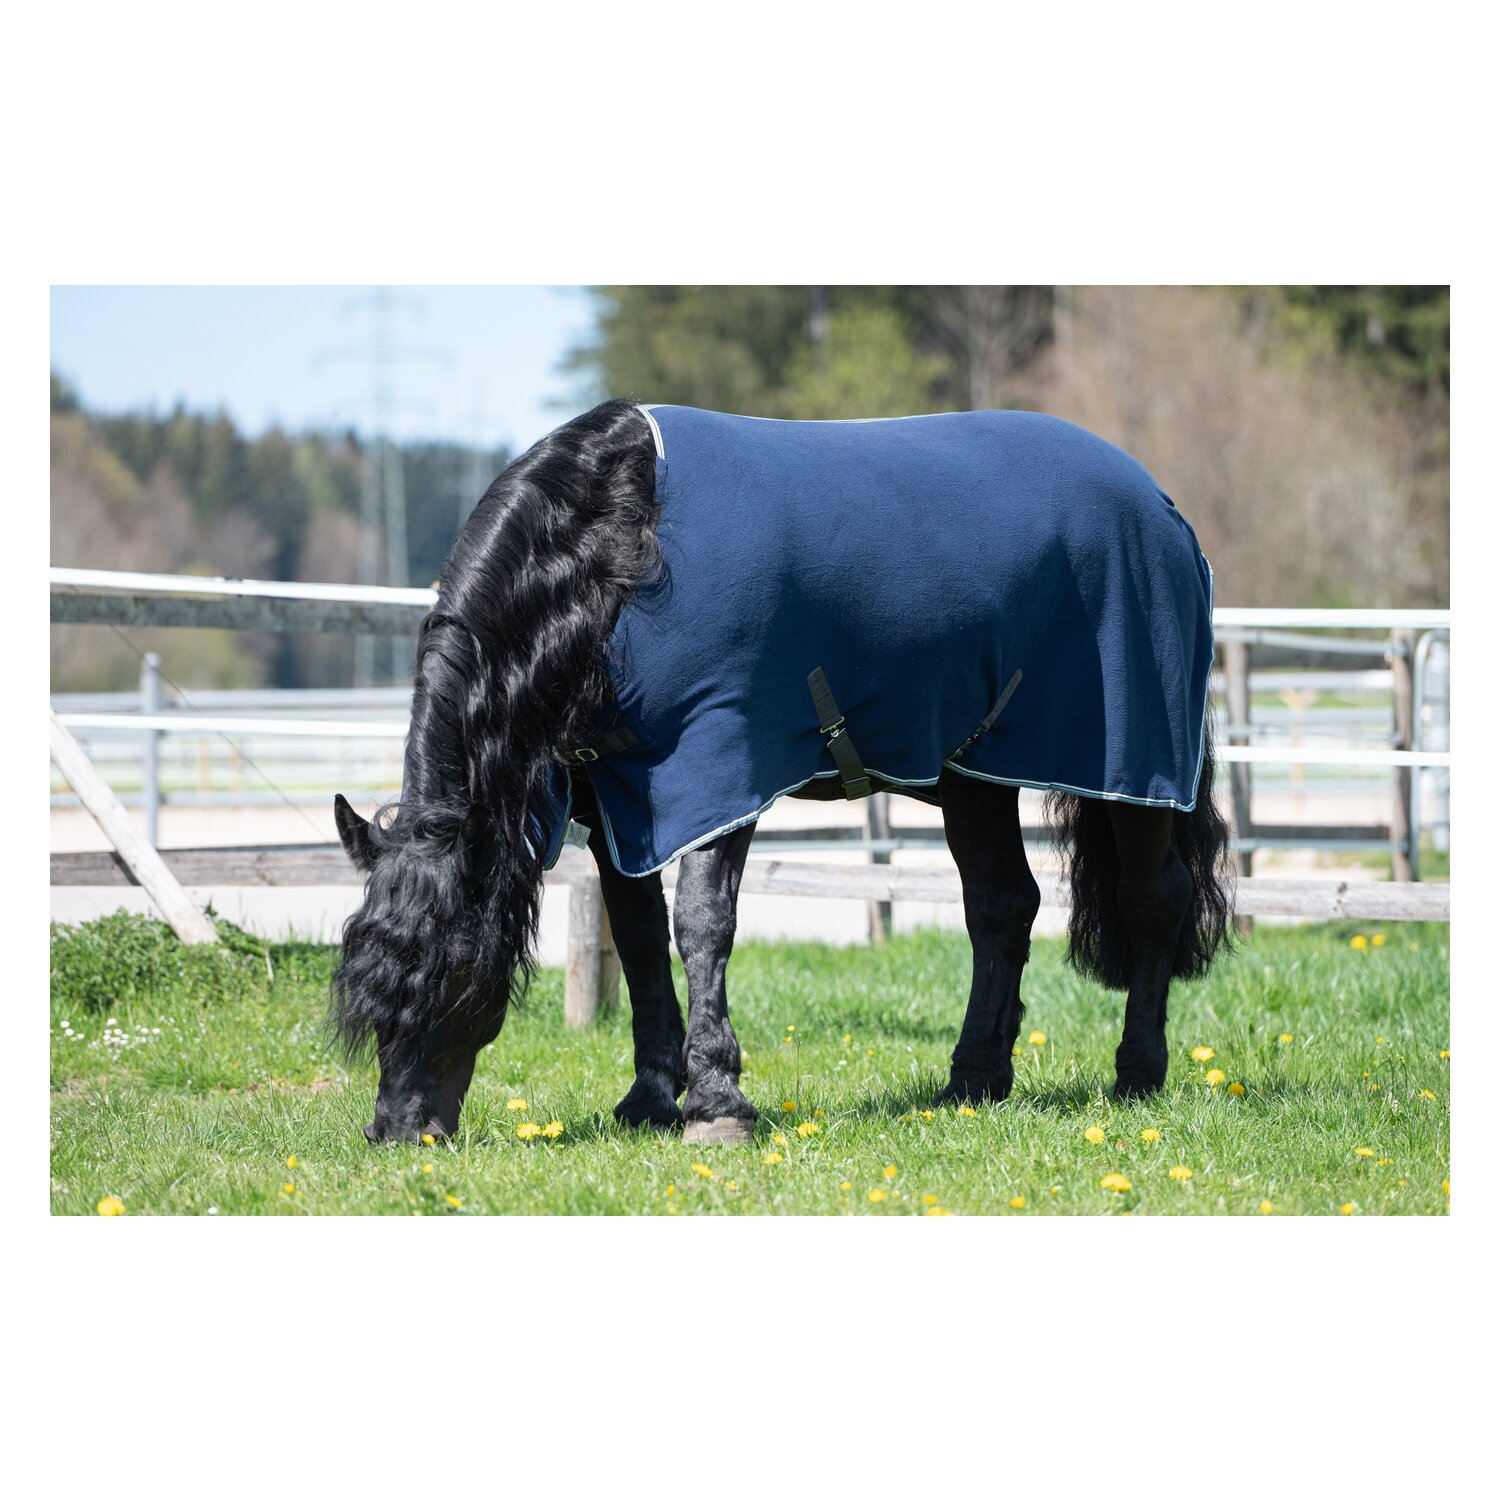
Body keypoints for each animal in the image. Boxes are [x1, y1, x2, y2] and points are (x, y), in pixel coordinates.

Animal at [332, 399, 1233, 1145]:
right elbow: (637, 937)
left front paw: (717, 1105)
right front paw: (650, 1100)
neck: (616, 545)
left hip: (1133, 761)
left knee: (1153, 900)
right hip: (973, 769)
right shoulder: (617, 800)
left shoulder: (715, 767)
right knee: (1002, 907)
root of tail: (1162, 506)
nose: (397, 1133)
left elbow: (701, 926)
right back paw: (973, 1082)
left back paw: (1136, 1074)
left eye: (454, 971)